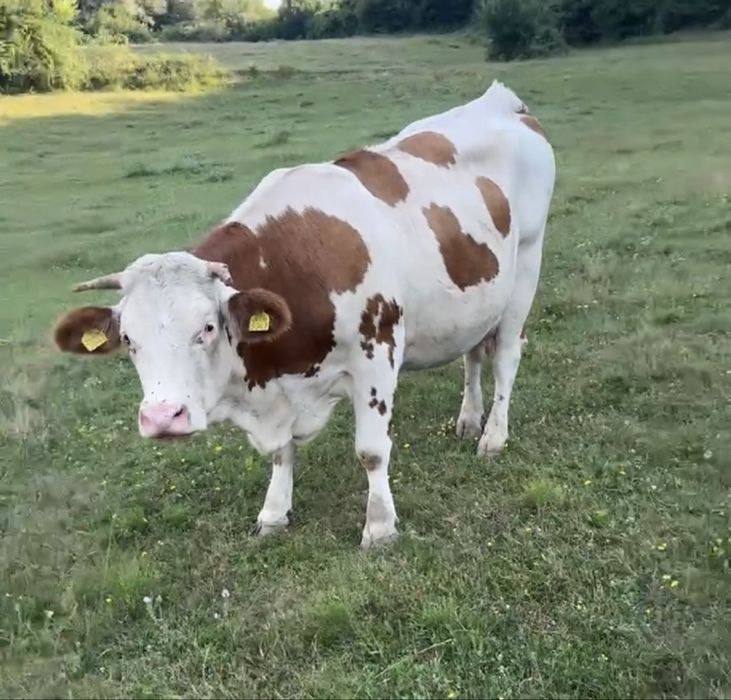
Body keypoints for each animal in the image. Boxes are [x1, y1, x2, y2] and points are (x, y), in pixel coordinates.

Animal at [52, 80, 555, 548]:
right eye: (129, 341)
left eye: (207, 328)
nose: (161, 418)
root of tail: (501, 101)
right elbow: (281, 454)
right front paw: (274, 512)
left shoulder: (377, 350)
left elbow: (372, 451)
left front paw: (379, 526)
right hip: (478, 296)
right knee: (473, 353)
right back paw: (468, 419)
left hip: (526, 266)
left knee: (505, 356)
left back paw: (493, 435)